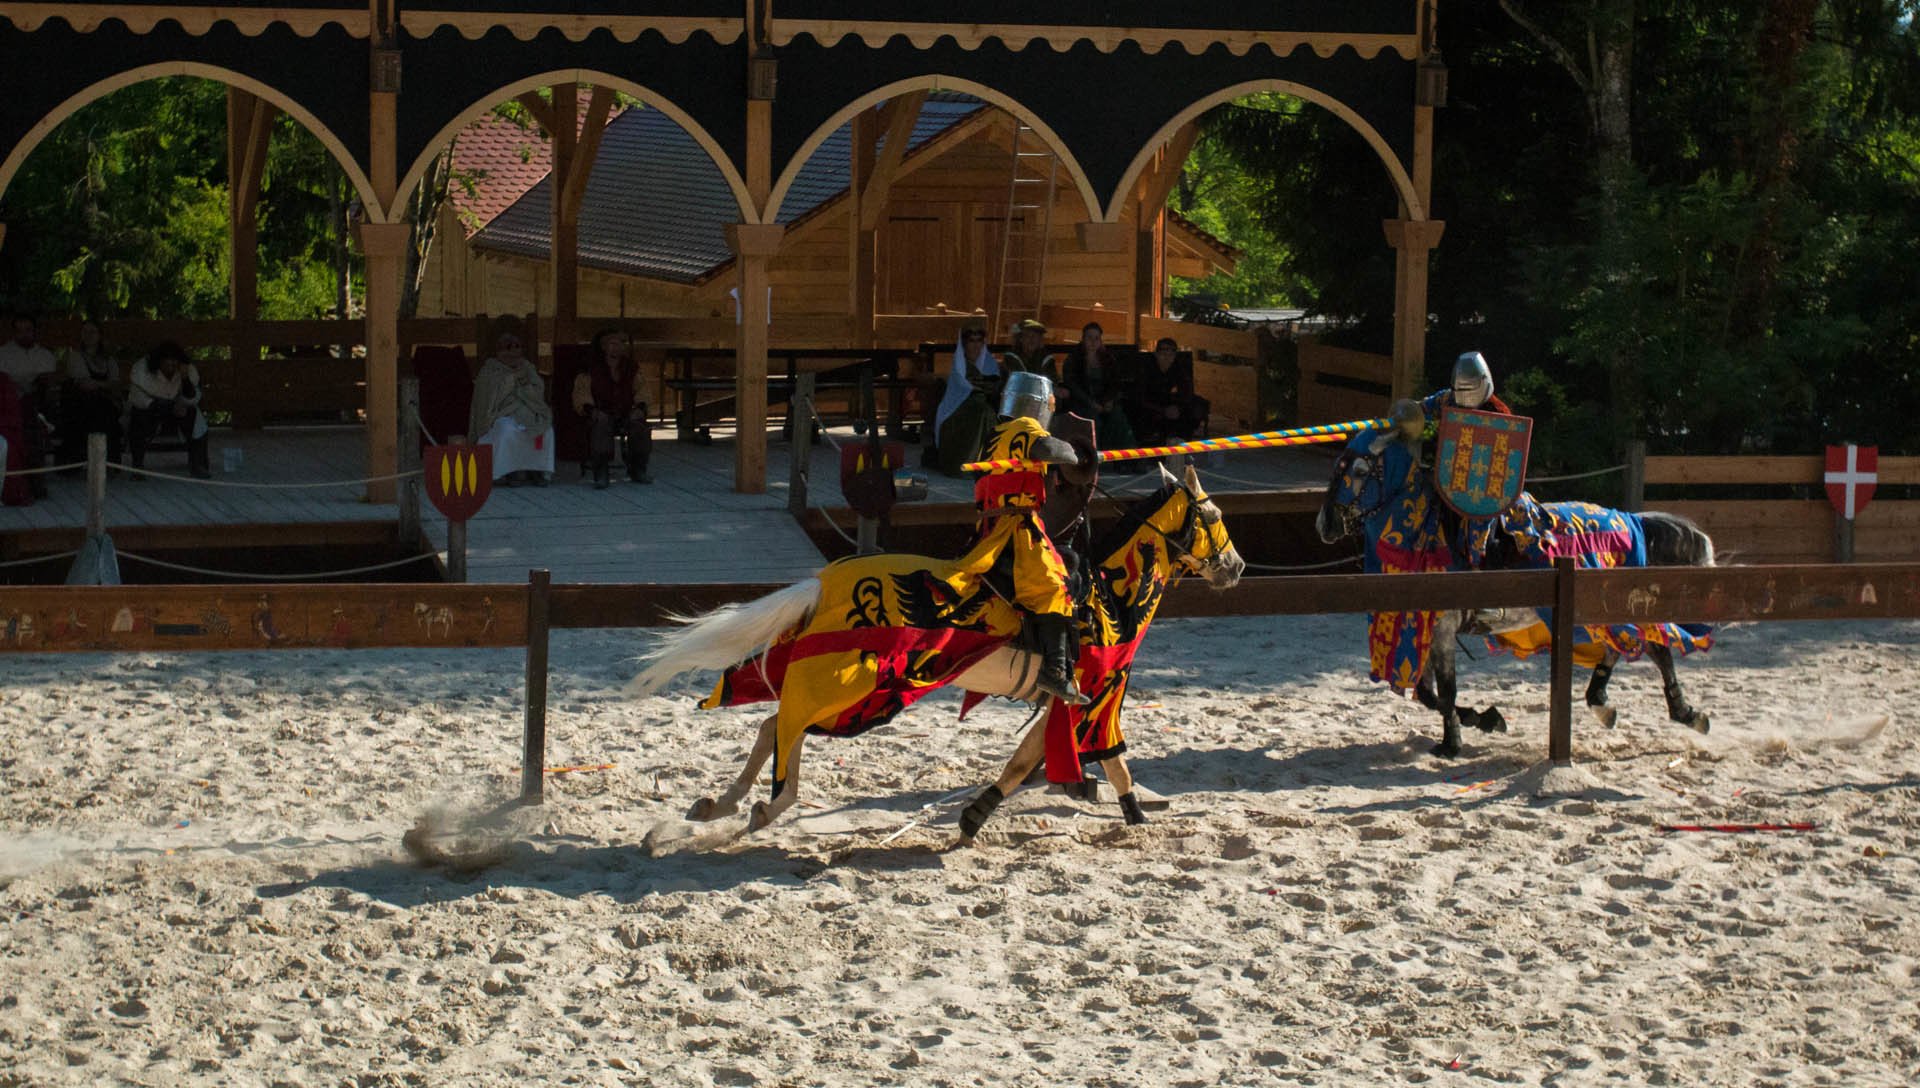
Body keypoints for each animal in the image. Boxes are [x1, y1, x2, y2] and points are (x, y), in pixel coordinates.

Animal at [629, 462, 1244, 832]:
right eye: (1213, 516)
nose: (1237, 567)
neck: (1113, 595)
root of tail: (825, 582)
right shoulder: (1096, 693)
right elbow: (1104, 759)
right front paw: (1136, 814)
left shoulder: (1067, 702)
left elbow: (1030, 759)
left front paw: (978, 813)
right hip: (853, 686)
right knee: (785, 726)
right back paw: (766, 806)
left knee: (772, 725)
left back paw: (727, 803)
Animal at [1320, 422, 1712, 763]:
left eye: (1358, 471)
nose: (1325, 524)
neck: (1422, 533)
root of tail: (1631, 519)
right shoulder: (1423, 630)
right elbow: (1428, 694)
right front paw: (1481, 719)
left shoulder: (1442, 631)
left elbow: (1445, 692)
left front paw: (1454, 742)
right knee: (1629, 645)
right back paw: (1607, 701)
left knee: (1653, 646)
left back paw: (1680, 712)